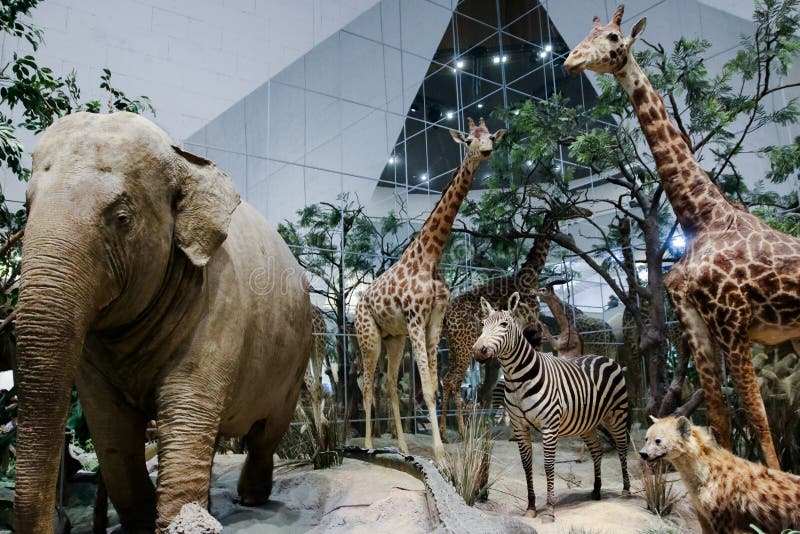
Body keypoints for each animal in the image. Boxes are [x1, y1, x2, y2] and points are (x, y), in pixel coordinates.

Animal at [13, 111, 312, 532]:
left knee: (266, 433)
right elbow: (110, 426)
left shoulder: (220, 298)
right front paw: (143, 523)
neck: (183, 159)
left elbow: (185, 403)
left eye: (122, 218)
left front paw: (181, 523)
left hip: (294, 360)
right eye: (26, 207)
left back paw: (250, 498)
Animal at [356, 117, 506, 460]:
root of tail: (358, 304)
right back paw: (368, 445)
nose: (487, 151)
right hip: (368, 336)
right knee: (367, 385)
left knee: (389, 386)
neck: (431, 255)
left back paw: (400, 446)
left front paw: (443, 445)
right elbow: (425, 386)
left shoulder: (434, 320)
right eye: (468, 140)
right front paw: (438, 451)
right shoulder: (415, 318)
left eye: (490, 137)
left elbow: (435, 386)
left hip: (393, 338)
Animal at [472, 294, 628, 524]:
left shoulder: (549, 426)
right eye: (483, 324)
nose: (478, 350)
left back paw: (626, 490)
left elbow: (548, 465)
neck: (517, 380)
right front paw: (531, 507)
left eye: (504, 325)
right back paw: (597, 491)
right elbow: (526, 465)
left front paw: (549, 511)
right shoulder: (519, 426)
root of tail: (604, 357)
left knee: (622, 447)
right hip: (587, 423)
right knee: (597, 450)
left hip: (616, 414)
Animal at [564, 6, 800, 472]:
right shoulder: (697, 323)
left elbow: (757, 413)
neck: (701, 217)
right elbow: (722, 414)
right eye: (586, 33)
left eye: (613, 36)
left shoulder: (732, 321)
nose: (570, 60)